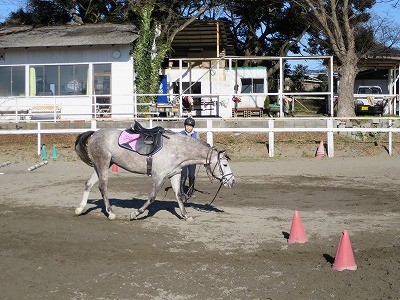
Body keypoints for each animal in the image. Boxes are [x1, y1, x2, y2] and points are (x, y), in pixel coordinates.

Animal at [75, 123, 234, 220]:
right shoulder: (158, 176)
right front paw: (135, 213)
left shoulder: (175, 175)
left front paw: (186, 215)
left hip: (102, 165)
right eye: (225, 164)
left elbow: (179, 196)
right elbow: (152, 197)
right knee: (103, 187)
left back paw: (80, 208)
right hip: (103, 163)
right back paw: (110, 213)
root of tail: (95, 134)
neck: (177, 149)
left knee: (88, 184)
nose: (232, 181)